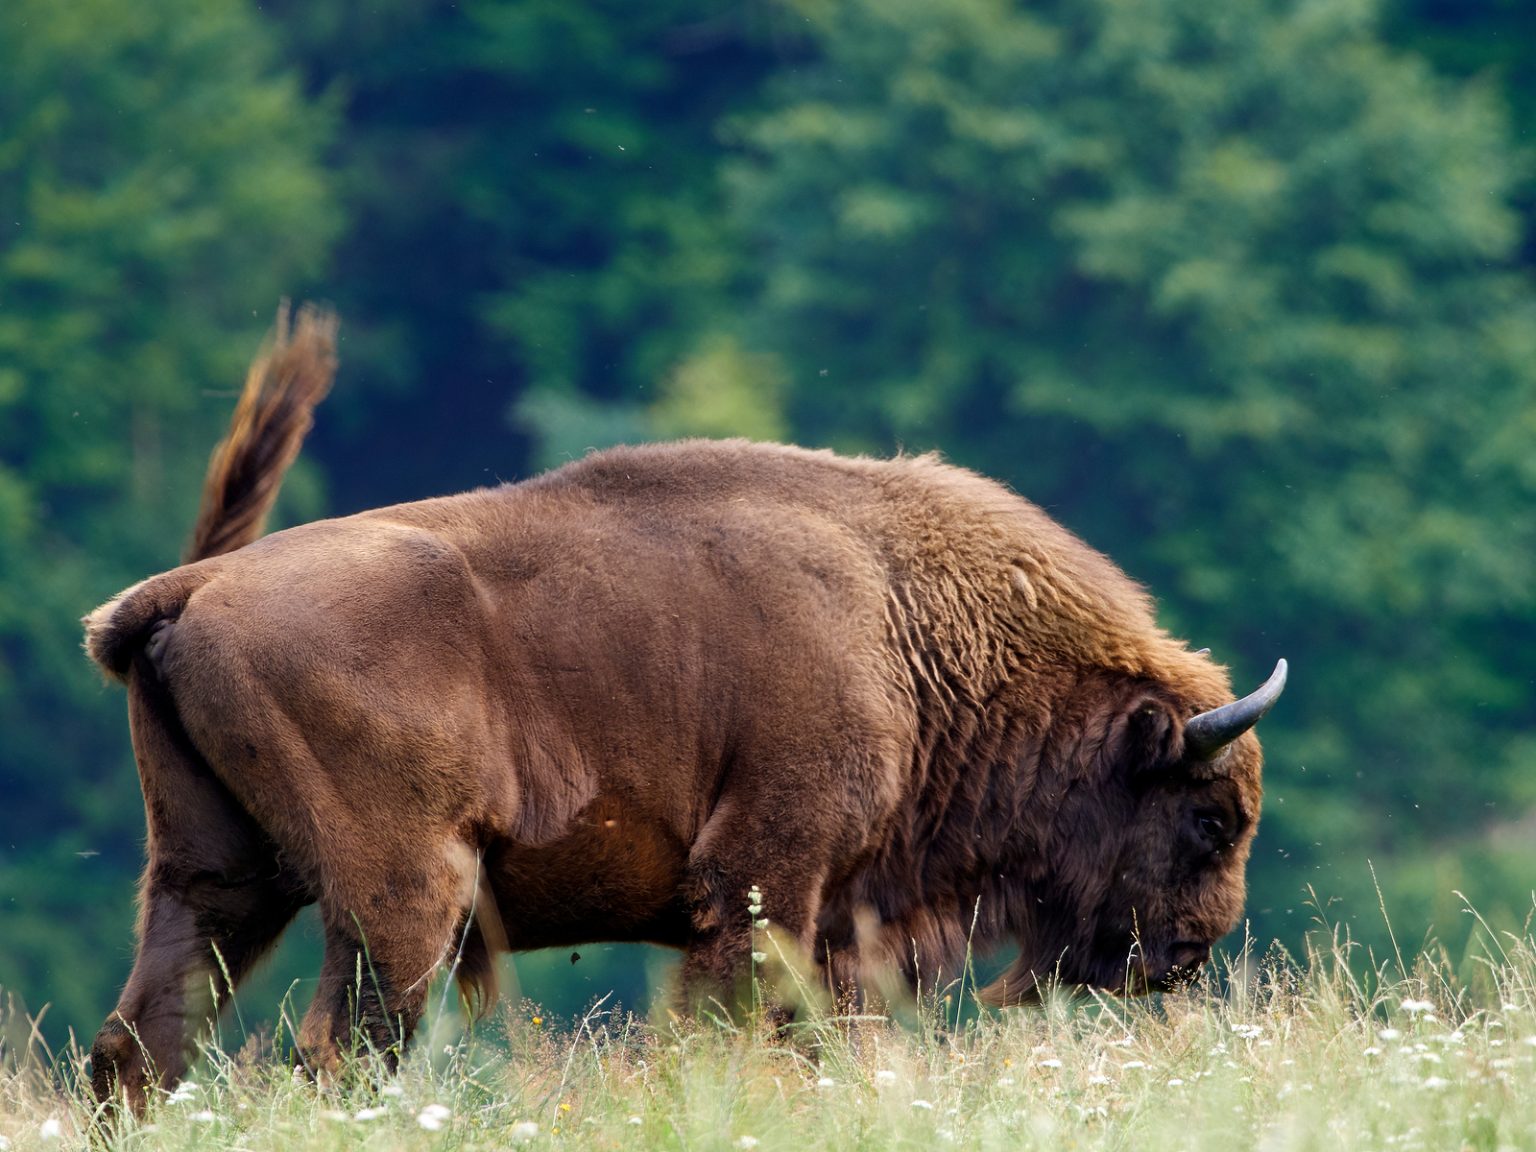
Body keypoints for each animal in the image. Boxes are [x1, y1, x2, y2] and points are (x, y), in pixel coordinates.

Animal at [84, 307, 1284, 1112]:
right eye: (1209, 817)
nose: (1188, 954)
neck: (906, 624)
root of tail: (188, 589)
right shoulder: (760, 879)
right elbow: (720, 1023)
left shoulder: (831, 919)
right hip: (405, 893)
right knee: (338, 1046)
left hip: (215, 880)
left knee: (142, 1045)